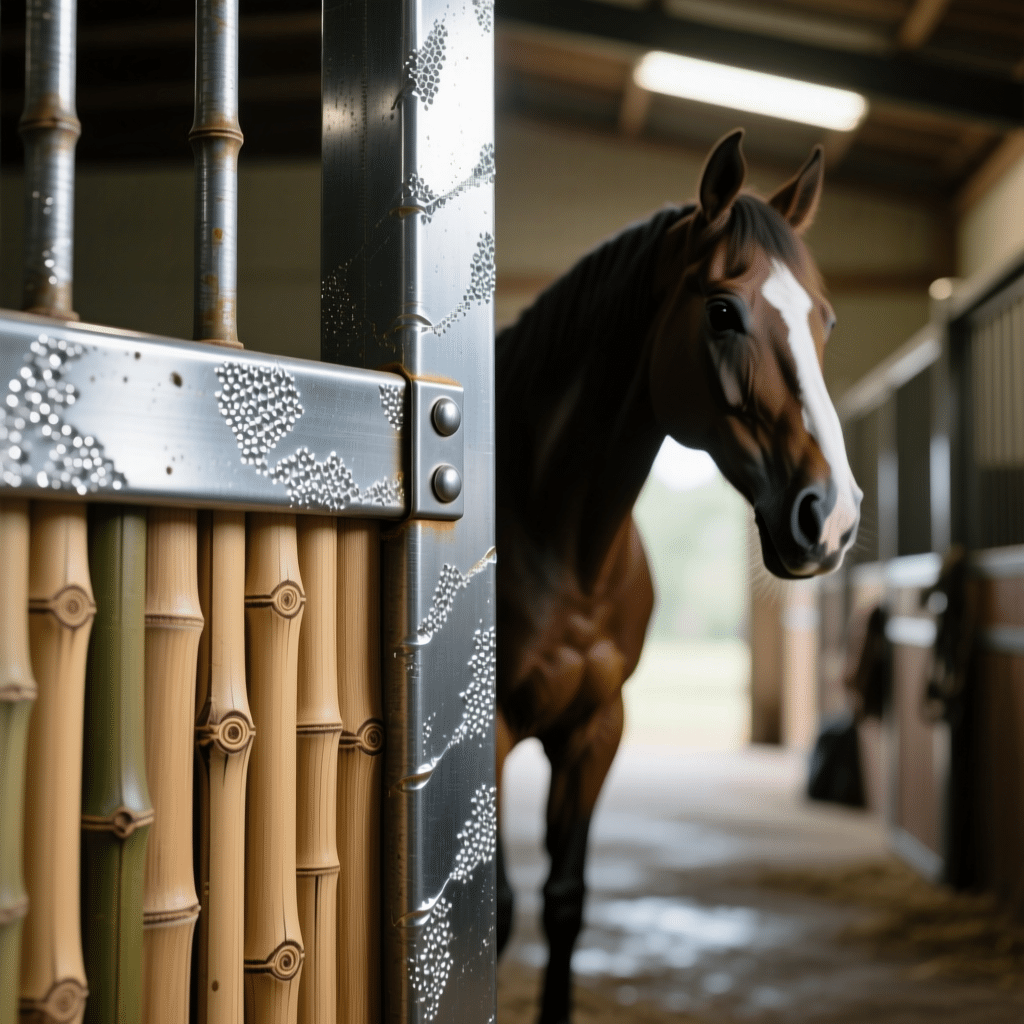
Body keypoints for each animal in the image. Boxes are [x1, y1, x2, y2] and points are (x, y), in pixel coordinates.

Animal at [494, 129, 862, 1024]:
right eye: (723, 311)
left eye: (825, 319)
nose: (832, 516)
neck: (561, 541)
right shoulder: (487, 735)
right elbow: (494, 912)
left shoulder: (597, 730)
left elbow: (564, 901)